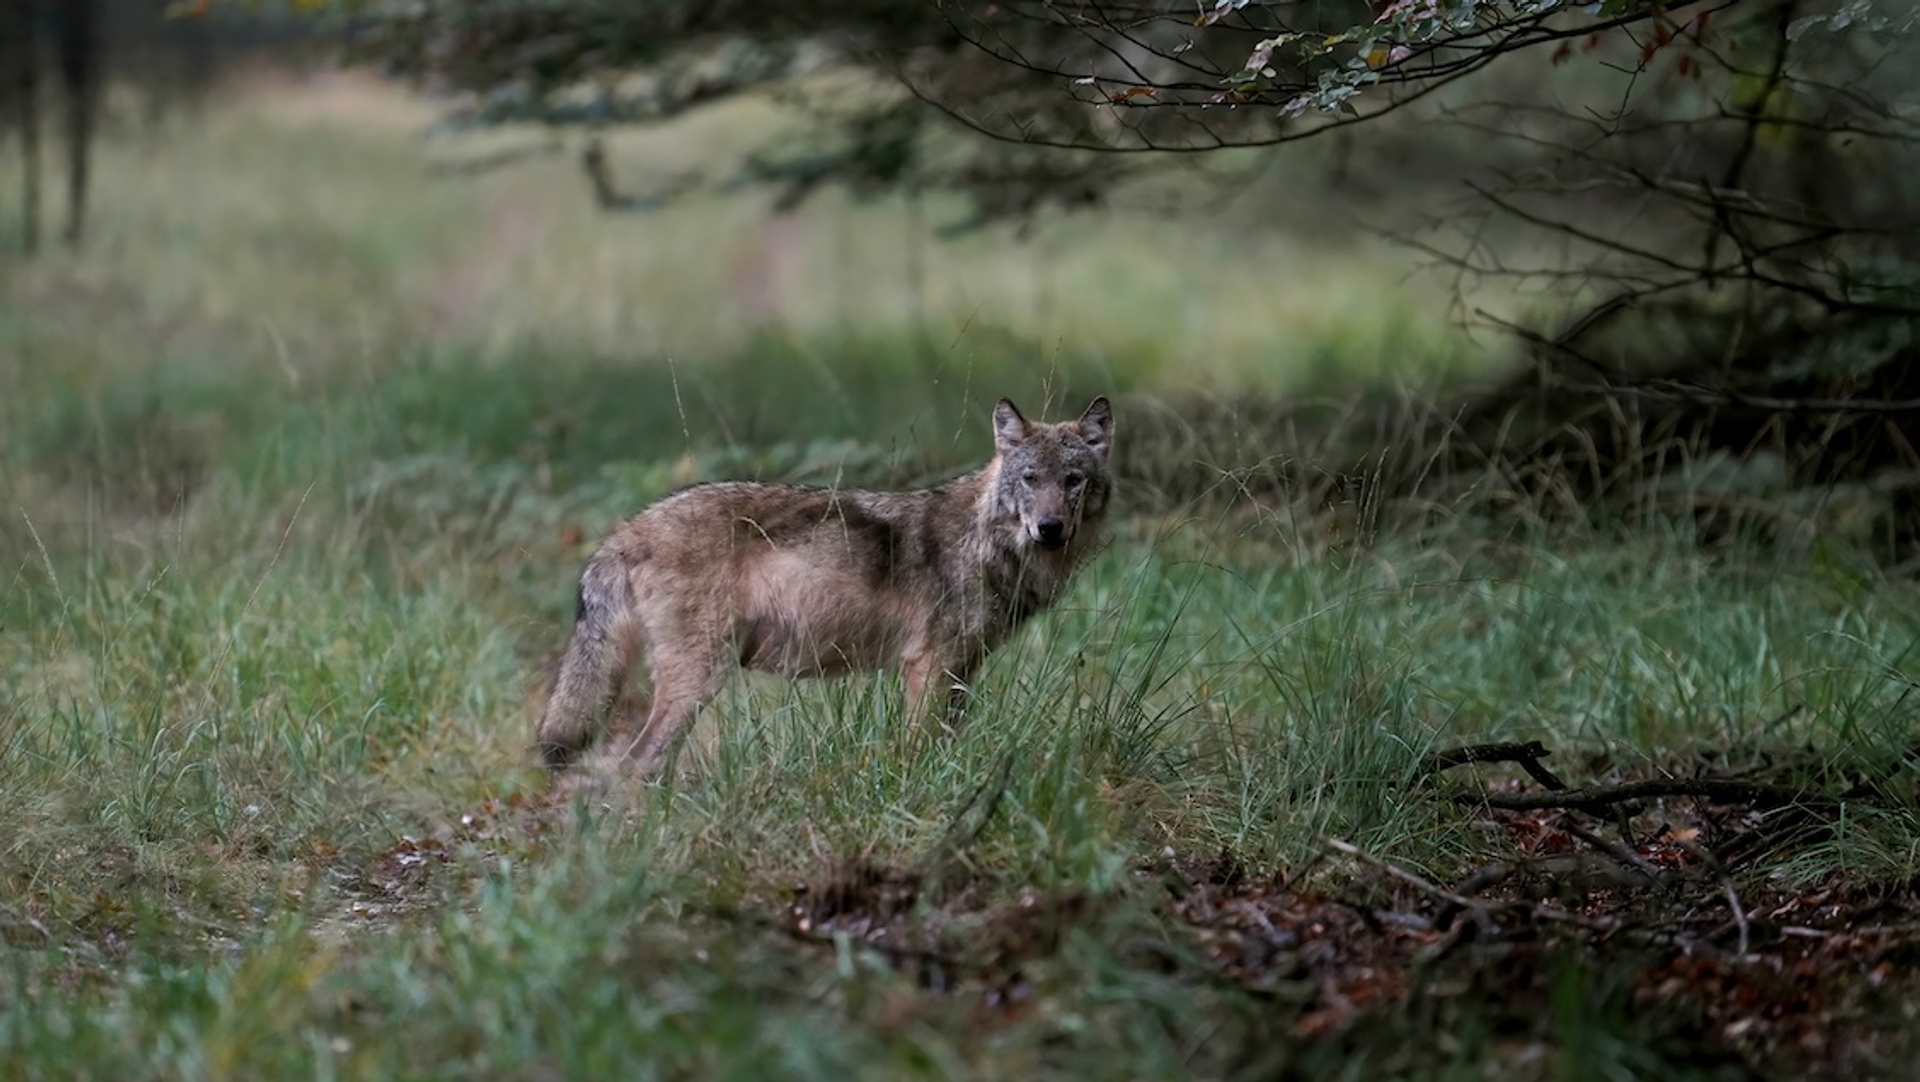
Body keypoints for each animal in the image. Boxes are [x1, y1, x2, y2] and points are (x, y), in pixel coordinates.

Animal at [533, 395, 1121, 778]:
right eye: (1030, 480)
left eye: (1073, 480)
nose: (1049, 528)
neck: (988, 542)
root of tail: (626, 530)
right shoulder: (928, 665)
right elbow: (919, 750)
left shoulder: (961, 670)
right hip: (698, 680)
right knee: (635, 765)